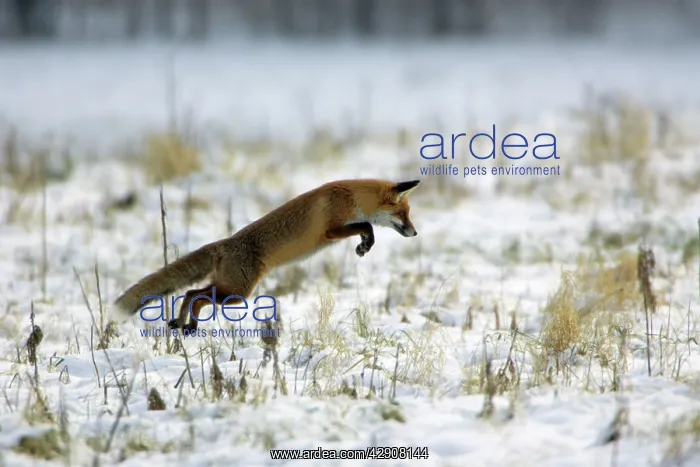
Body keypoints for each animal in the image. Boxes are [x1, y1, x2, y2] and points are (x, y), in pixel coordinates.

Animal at [113, 178, 421, 331]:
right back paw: (188, 324)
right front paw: (365, 244)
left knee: (192, 293)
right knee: (195, 295)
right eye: (404, 214)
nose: (415, 233)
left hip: (230, 290)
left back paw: (185, 324)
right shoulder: (332, 230)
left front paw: (365, 245)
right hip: (237, 293)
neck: (352, 196)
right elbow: (367, 225)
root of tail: (224, 243)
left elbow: (366, 226)